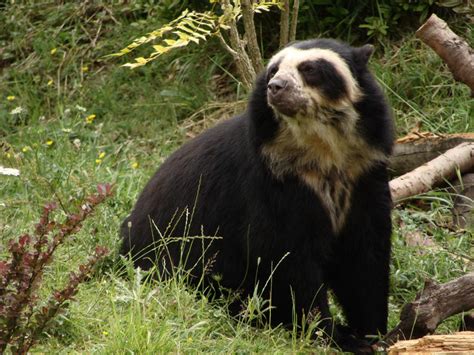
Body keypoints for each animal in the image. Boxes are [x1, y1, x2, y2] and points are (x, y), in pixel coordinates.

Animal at [120, 38, 394, 354]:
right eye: (273, 69)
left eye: (310, 69)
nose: (275, 87)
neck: (322, 151)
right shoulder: (275, 183)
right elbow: (285, 255)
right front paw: (329, 333)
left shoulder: (364, 174)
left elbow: (365, 253)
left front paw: (372, 334)